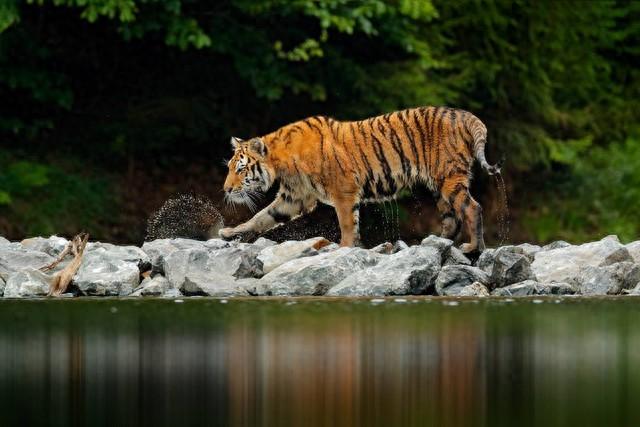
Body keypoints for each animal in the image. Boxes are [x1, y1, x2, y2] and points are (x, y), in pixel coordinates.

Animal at [220, 107, 500, 254]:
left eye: (241, 169)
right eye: (231, 167)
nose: (226, 189)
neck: (281, 162)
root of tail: (466, 115)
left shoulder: (343, 191)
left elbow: (346, 224)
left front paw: (342, 248)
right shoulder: (294, 197)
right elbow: (261, 217)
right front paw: (230, 232)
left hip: (449, 178)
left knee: (473, 207)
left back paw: (473, 247)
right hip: (439, 186)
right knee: (451, 219)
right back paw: (432, 245)